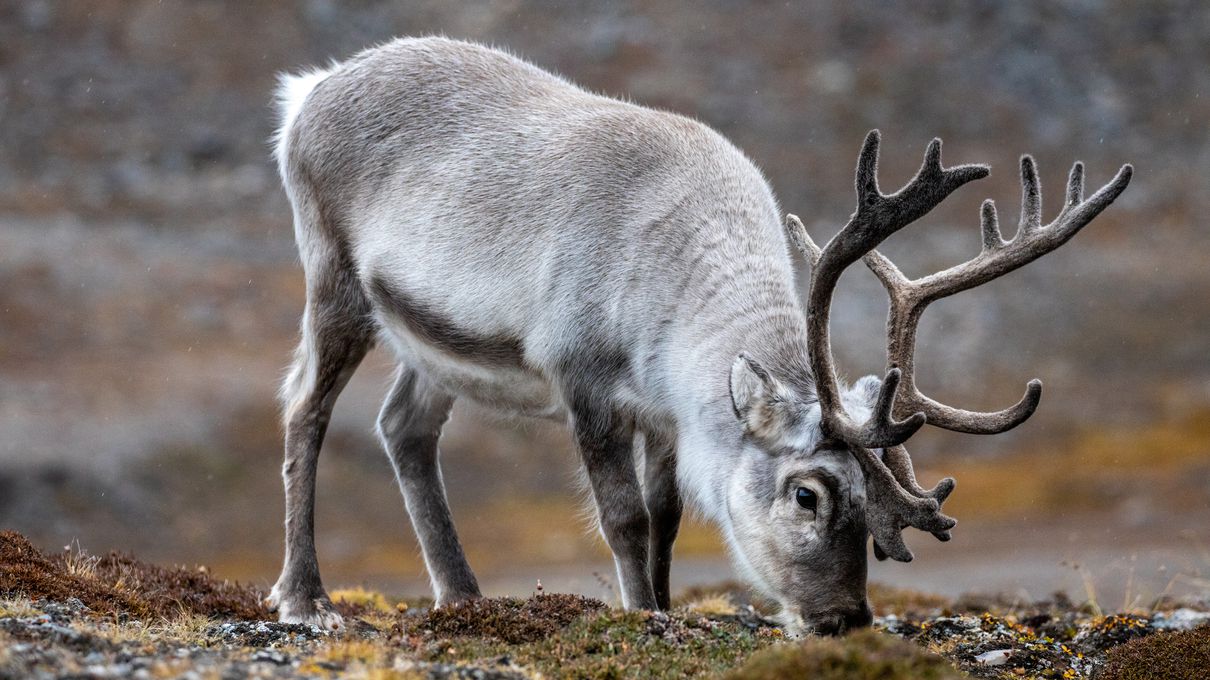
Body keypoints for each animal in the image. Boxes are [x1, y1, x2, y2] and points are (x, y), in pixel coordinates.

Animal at [267, 37, 1131, 635]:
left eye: (876, 507)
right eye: (808, 492)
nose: (844, 619)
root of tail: (307, 92)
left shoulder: (664, 415)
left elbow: (668, 514)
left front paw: (665, 601)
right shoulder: (584, 381)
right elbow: (624, 517)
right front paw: (643, 614)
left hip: (429, 342)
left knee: (402, 428)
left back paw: (464, 597)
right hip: (334, 278)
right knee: (305, 411)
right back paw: (306, 597)